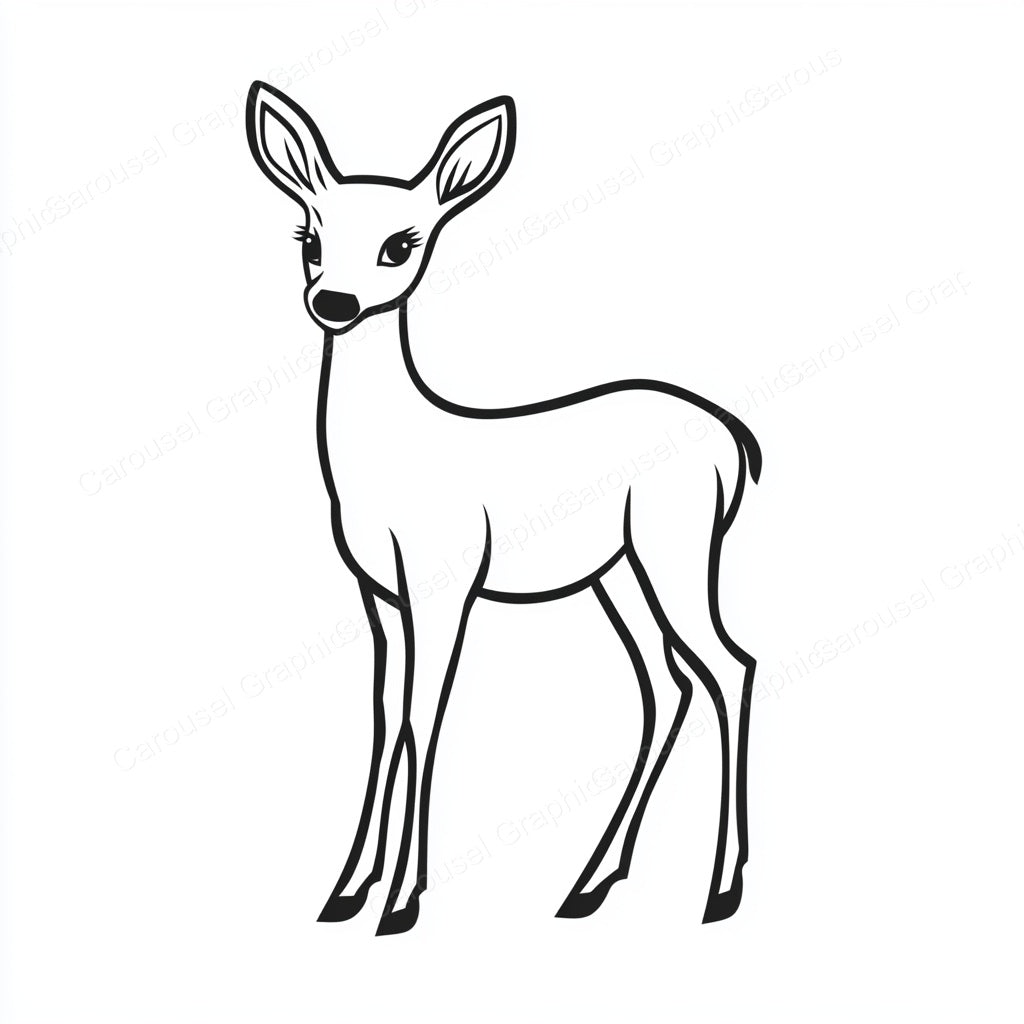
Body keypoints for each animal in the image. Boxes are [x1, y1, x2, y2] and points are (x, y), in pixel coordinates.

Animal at [245, 81, 762, 936]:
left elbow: (424, 716)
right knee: (667, 686)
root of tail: (734, 440)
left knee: (729, 666)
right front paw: (346, 891)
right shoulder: (379, 593)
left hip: (675, 545)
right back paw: (587, 886)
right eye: (309, 236)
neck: (392, 458)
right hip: (616, 573)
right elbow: (384, 716)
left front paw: (401, 901)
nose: (335, 302)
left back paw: (720, 891)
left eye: (401, 244)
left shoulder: (445, 582)